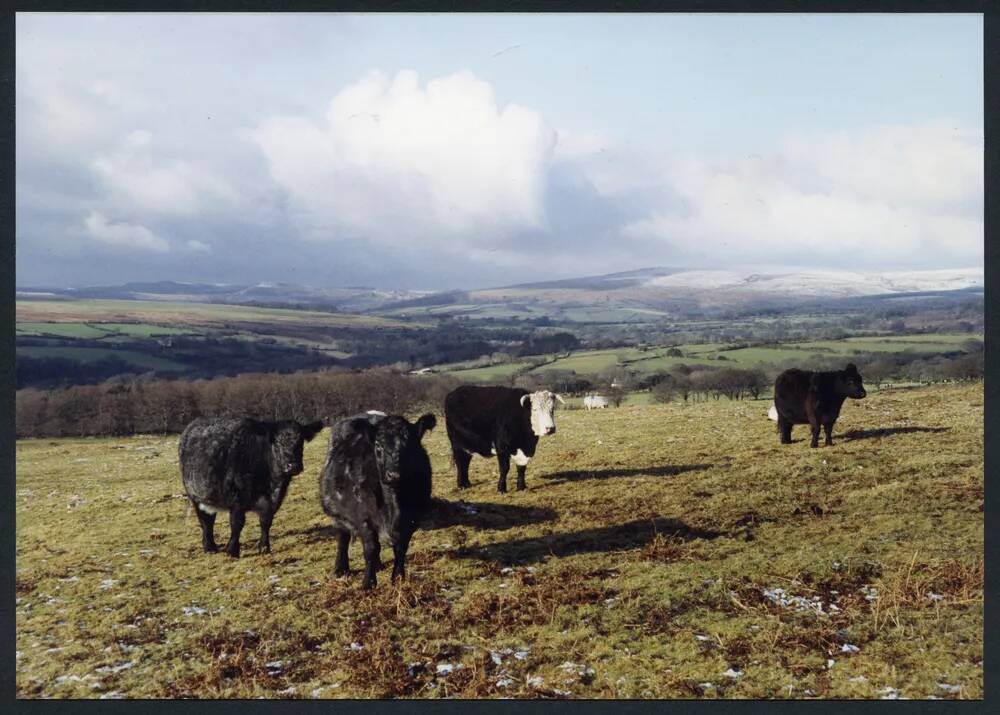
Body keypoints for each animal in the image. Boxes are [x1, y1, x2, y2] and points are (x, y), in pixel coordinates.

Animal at [178, 416, 322, 556]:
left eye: (301, 441)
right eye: (277, 441)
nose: (293, 466)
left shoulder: (271, 503)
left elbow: (266, 522)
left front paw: (264, 547)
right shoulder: (238, 499)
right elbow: (237, 523)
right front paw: (232, 550)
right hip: (195, 494)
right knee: (206, 521)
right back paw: (210, 547)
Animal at [316, 412, 434, 592]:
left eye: (410, 444)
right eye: (378, 445)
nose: (394, 474)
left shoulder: (413, 519)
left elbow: (401, 547)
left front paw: (398, 578)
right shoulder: (364, 517)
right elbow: (371, 548)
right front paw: (368, 582)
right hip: (336, 511)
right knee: (342, 537)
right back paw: (340, 569)